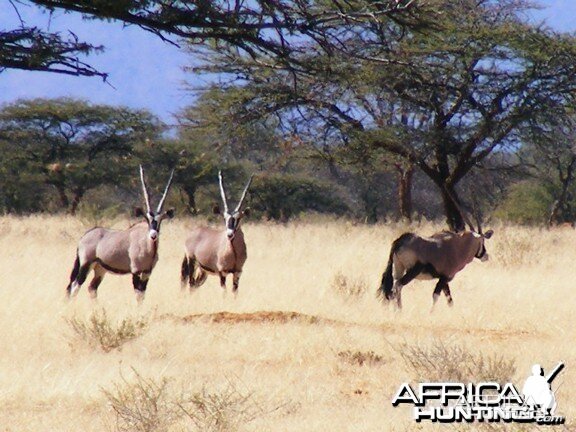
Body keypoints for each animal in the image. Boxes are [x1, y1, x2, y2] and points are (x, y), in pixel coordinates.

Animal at [66, 165, 174, 304]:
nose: (153, 235)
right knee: (75, 286)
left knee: (92, 287)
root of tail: (84, 237)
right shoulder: (135, 271)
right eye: (147, 219)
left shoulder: (147, 272)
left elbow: (142, 295)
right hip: (86, 264)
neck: (147, 246)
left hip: (100, 268)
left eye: (160, 220)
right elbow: (138, 294)